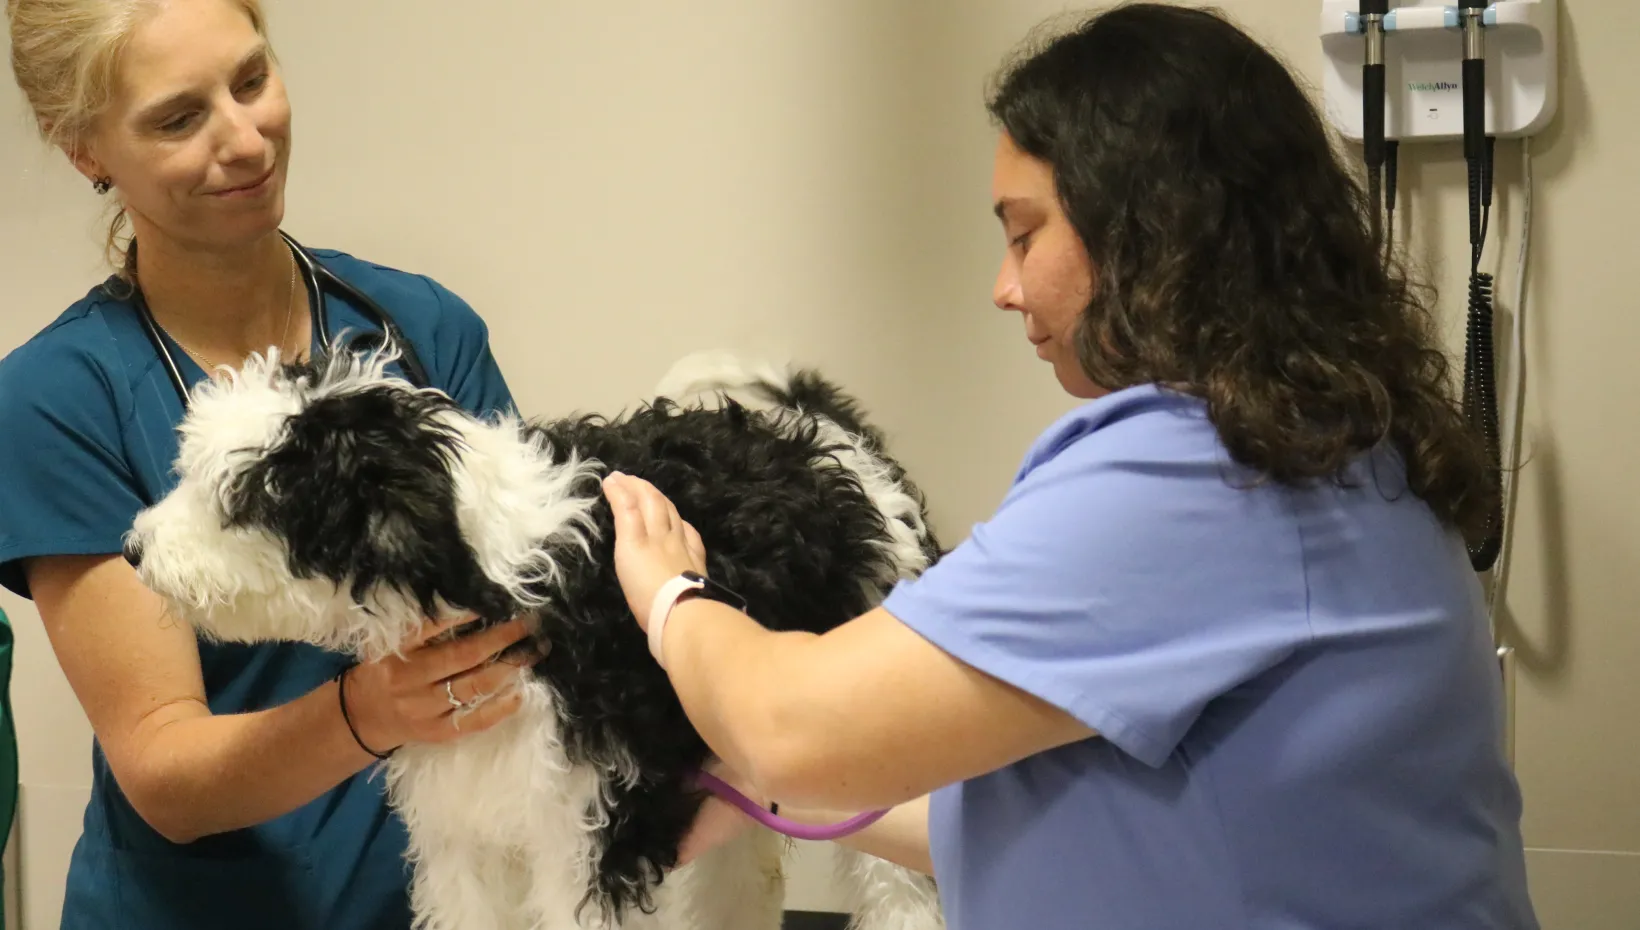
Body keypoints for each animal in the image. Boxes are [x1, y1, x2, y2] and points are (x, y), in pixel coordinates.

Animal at [124, 344, 951, 930]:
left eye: (245, 501)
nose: (133, 551)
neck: (502, 569)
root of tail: (837, 443)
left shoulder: (589, 838)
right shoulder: (460, 835)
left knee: (903, 895)